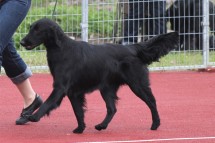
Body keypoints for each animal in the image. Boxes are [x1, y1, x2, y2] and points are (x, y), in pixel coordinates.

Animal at [20, 18, 179, 134]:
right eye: (30, 28)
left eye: (38, 30)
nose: (21, 42)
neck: (61, 49)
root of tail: (133, 48)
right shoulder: (73, 92)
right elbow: (78, 111)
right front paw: (80, 129)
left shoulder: (60, 87)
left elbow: (48, 103)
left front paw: (33, 116)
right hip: (107, 88)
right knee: (112, 109)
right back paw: (101, 126)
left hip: (137, 84)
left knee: (152, 102)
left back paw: (155, 124)